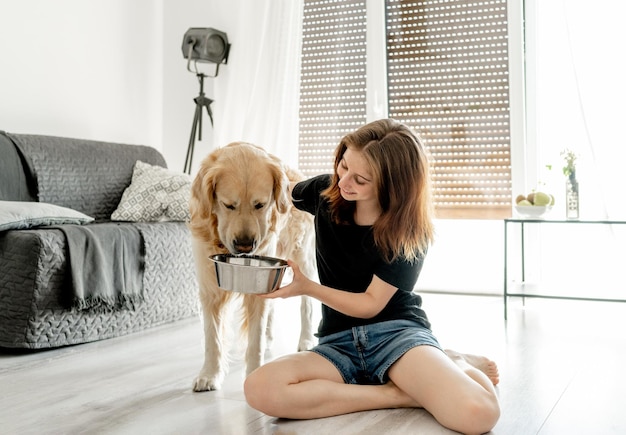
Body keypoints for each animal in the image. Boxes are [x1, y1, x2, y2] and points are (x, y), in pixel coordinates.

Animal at [189, 142, 316, 392]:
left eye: (260, 205)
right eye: (228, 205)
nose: (245, 245)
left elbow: (254, 340)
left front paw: (255, 374)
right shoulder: (209, 286)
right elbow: (212, 337)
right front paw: (209, 374)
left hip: (302, 257)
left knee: (307, 303)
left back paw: (306, 339)